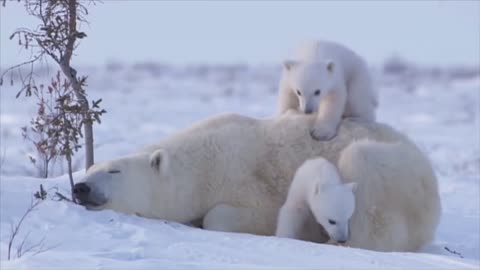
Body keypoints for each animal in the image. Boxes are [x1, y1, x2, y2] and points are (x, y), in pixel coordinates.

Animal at [73, 113, 440, 252]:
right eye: (90, 167)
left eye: (114, 171)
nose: (80, 187)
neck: (201, 163)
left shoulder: (244, 179)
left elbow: (230, 214)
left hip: (396, 174)